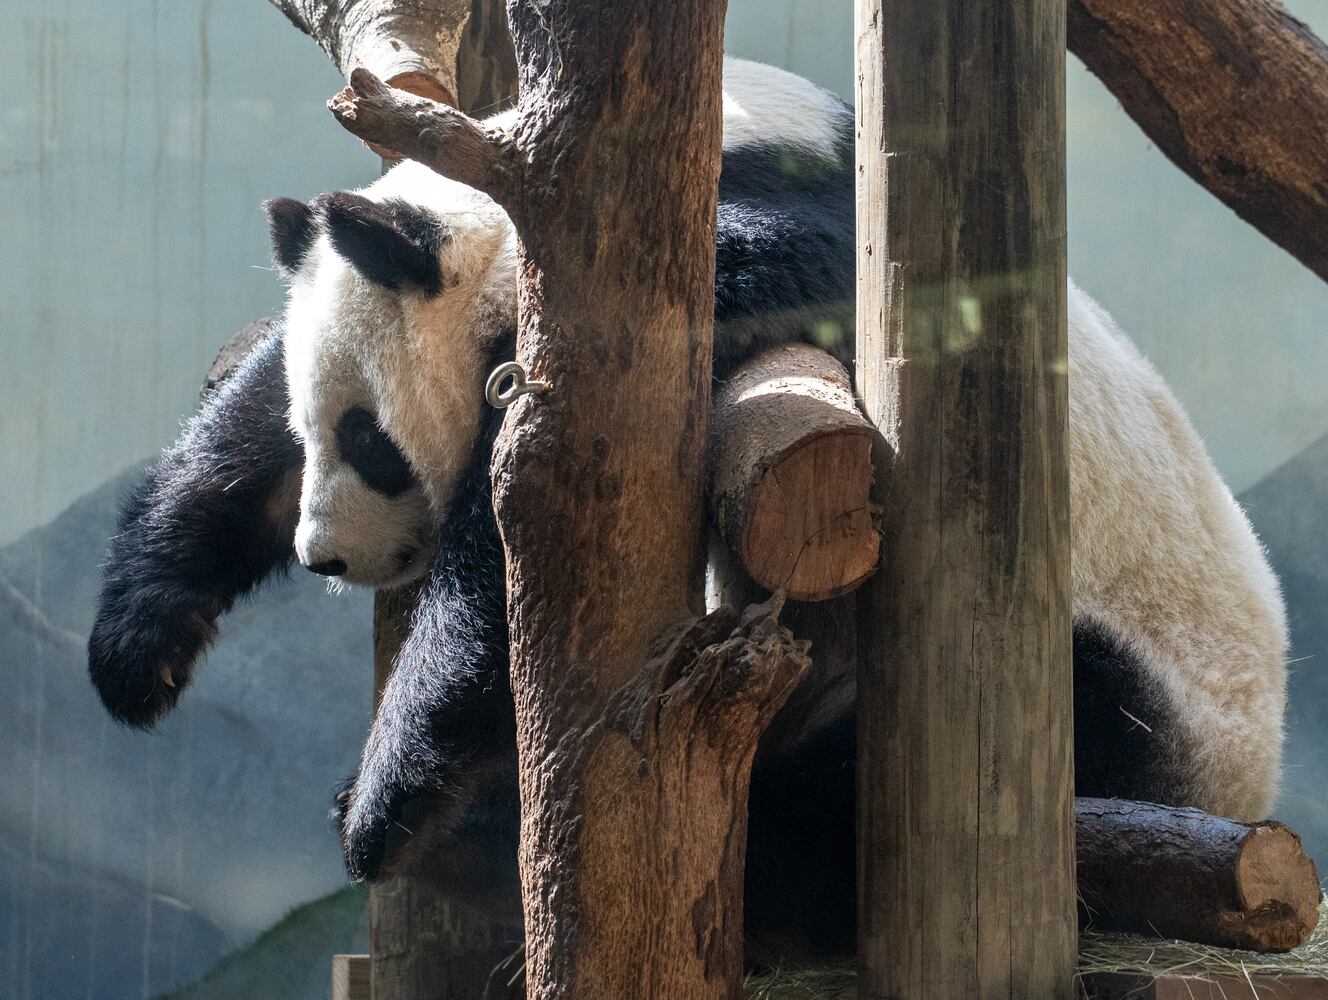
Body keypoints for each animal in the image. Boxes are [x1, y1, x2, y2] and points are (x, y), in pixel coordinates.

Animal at [85, 56, 1285, 961]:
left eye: (369, 442)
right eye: (317, 433)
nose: (326, 557)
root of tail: (1242, 784)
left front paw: (383, 797)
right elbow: (238, 428)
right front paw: (141, 647)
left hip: (1118, 687)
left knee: (884, 788)